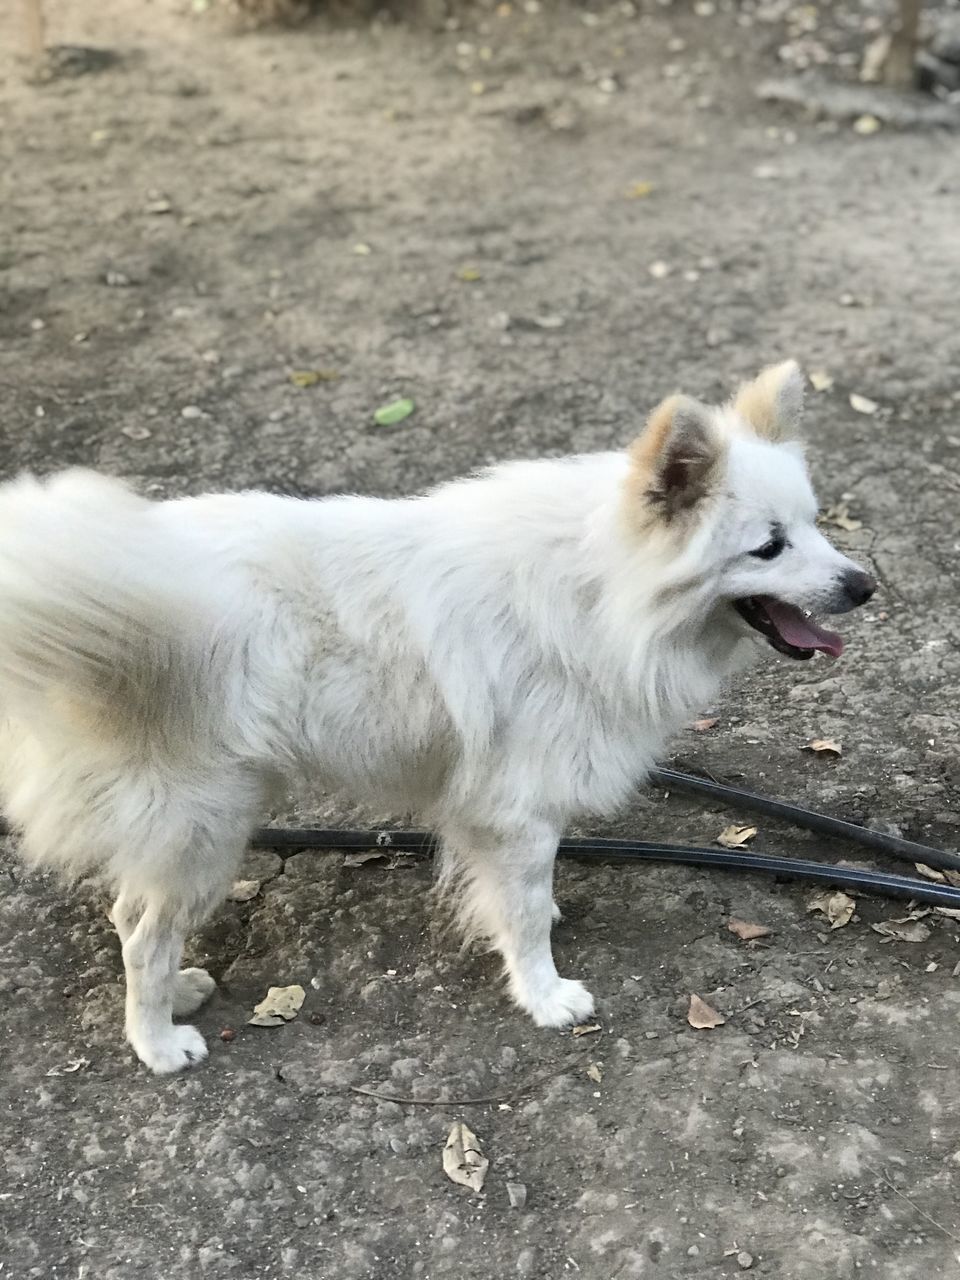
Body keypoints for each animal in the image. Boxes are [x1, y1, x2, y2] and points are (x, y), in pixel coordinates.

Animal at [0, 360, 875, 1070]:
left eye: (815, 524)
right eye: (768, 547)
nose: (865, 585)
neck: (603, 589)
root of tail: (130, 594)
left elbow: (523, 897)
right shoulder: (516, 811)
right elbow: (525, 916)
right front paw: (545, 995)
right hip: (204, 827)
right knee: (140, 929)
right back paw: (157, 1041)